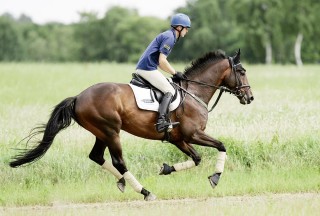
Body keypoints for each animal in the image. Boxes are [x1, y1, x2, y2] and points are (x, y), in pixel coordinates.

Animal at [9, 49, 252, 201]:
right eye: (241, 72)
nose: (249, 98)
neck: (194, 92)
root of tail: (78, 97)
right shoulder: (193, 134)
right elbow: (221, 145)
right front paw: (216, 177)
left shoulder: (179, 139)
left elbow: (197, 158)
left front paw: (166, 169)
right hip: (111, 131)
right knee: (119, 162)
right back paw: (145, 192)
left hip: (101, 132)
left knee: (97, 156)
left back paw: (123, 183)